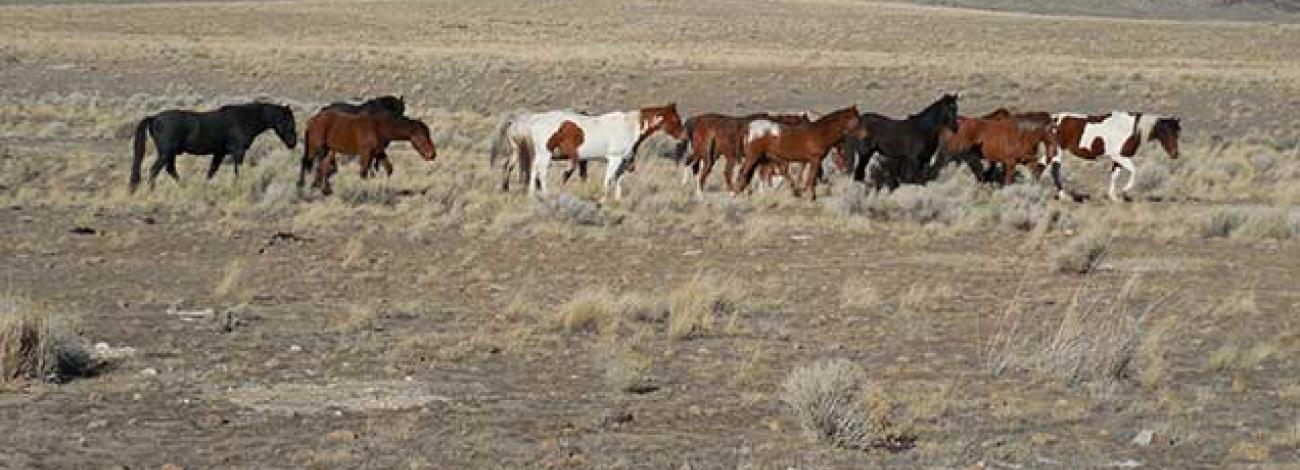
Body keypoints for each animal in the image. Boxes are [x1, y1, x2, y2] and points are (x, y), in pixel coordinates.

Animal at [128, 101, 297, 192]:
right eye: (289, 121)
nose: (292, 143)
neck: (245, 119)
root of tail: (154, 118)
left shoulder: (219, 153)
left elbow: (211, 172)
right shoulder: (238, 152)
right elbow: (237, 171)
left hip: (170, 154)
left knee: (170, 170)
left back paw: (184, 186)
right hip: (166, 153)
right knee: (154, 170)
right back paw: (152, 190)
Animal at [297, 109, 436, 194]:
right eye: (422, 136)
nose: (432, 154)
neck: (379, 127)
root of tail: (313, 120)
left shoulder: (379, 152)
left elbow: (389, 169)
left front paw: (385, 189)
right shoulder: (366, 153)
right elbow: (363, 173)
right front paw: (363, 191)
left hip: (330, 149)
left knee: (324, 166)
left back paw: (325, 190)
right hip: (315, 146)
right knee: (305, 161)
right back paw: (302, 185)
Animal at [488, 103, 691, 201]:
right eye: (675, 118)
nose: (684, 136)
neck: (628, 126)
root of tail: (532, 121)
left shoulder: (623, 162)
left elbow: (618, 180)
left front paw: (616, 199)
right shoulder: (614, 159)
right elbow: (609, 179)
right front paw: (602, 199)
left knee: (531, 172)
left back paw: (531, 193)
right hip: (545, 156)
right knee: (540, 173)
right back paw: (544, 194)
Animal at [1050, 111, 1185, 201]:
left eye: (1177, 133)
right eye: (1166, 132)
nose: (1175, 154)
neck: (1130, 129)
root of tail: (1053, 119)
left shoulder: (1118, 158)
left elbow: (1115, 175)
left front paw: (1113, 197)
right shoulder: (1118, 156)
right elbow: (1134, 170)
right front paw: (1125, 190)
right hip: (1057, 152)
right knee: (1055, 171)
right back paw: (1064, 196)